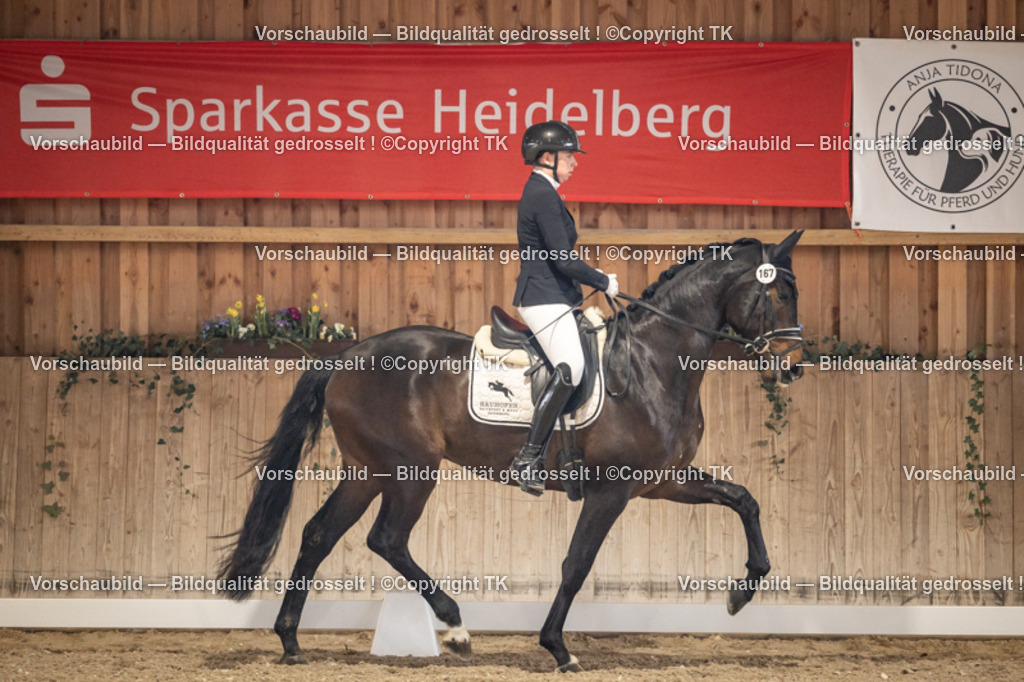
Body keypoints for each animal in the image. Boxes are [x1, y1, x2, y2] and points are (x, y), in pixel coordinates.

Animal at [218, 230, 806, 672]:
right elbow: (577, 563)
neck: (652, 363)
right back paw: (455, 627)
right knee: (386, 538)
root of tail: (343, 357)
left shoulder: (661, 483)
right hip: (410, 471)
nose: (794, 366)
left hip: (368, 471)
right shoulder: (611, 491)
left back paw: (291, 642)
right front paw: (558, 648)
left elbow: (744, 498)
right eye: (779, 295)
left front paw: (742, 593)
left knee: (318, 534)